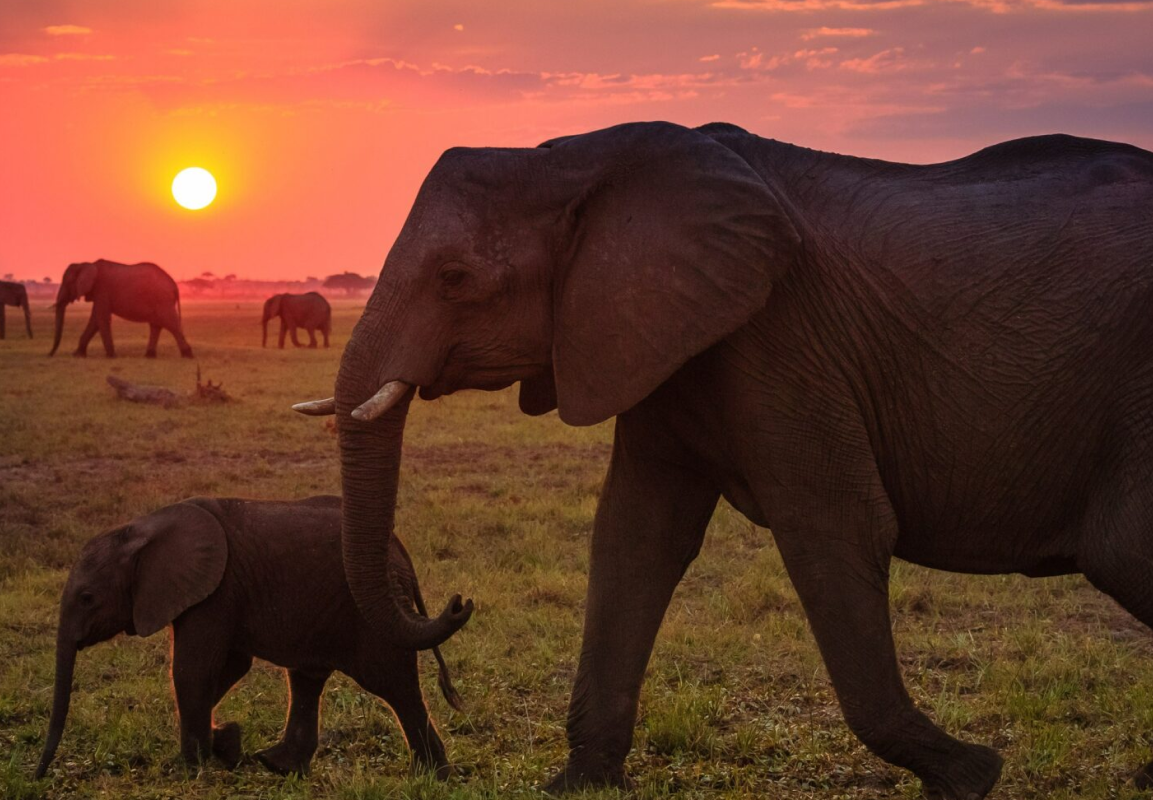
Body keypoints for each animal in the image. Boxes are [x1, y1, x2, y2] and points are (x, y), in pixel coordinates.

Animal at [38, 495, 465, 783]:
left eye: (87, 598)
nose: (38, 775)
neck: (140, 528)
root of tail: (399, 552)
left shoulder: (215, 592)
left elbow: (194, 670)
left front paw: (192, 766)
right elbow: (229, 667)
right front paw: (225, 742)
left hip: (370, 617)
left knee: (393, 683)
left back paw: (434, 777)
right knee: (306, 679)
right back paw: (278, 765)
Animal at [49, 260, 193, 359]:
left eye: (68, 283)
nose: (49, 355)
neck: (86, 264)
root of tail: (174, 285)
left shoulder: (102, 290)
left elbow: (101, 319)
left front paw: (111, 356)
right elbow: (95, 320)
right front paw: (78, 355)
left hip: (162, 300)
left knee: (171, 324)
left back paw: (188, 355)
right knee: (156, 325)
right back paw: (149, 356)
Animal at [295, 120, 1153, 800]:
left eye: (455, 278)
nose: (455, 604)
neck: (576, 159)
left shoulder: (783, 342)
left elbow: (833, 527)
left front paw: (970, 777)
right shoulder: (651, 337)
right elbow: (635, 538)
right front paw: (578, 782)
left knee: (1123, 551)